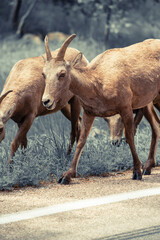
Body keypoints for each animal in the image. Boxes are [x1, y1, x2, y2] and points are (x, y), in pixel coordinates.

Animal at [42, 33, 160, 184]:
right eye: (44, 74)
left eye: (62, 73)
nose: (46, 101)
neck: (98, 82)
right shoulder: (89, 112)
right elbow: (82, 140)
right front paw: (66, 175)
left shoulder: (126, 107)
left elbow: (129, 136)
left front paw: (136, 172)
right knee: (156, 125)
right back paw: (148, 167)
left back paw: (145, 167)